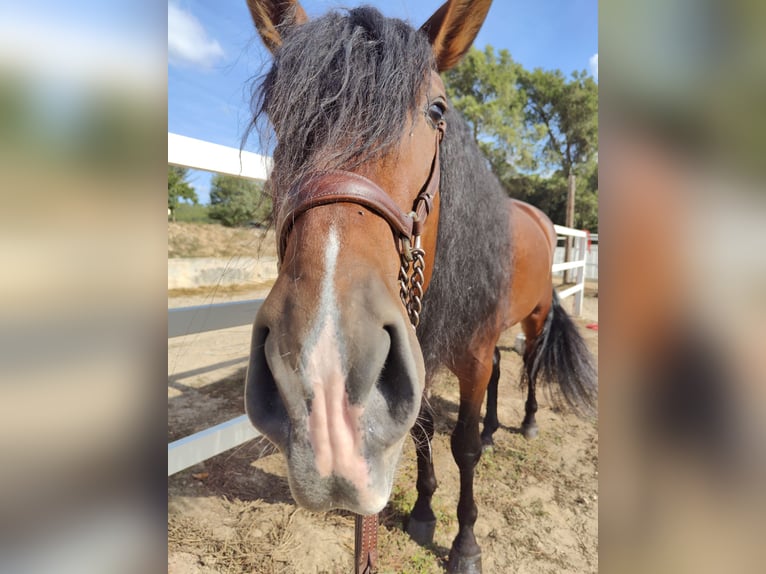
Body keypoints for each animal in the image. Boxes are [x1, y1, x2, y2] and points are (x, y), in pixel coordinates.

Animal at [243, 2, 596, 572]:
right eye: (279, 112)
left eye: (436, 110)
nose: (325, 369)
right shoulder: (419, 354)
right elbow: (424, 431)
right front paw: (424, 513)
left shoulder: (468, 354)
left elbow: (463, 447)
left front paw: (465, 543)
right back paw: (496, 428)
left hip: (536, 316)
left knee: (530, 365)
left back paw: (526, 423)